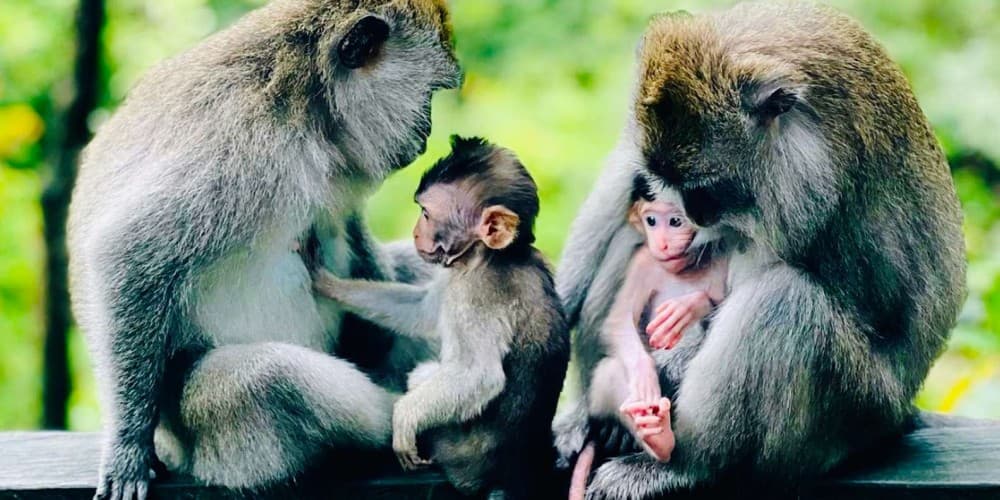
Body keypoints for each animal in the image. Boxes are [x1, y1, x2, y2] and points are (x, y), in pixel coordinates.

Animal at [67, 1, 462, 498]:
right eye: (430, 94)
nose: (426, 132)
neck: (308, 107)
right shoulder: (239, 146)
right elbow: (129, 254)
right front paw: (127, 446)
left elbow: (351, 234)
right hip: (211, 439)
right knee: (266, 378)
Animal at [311, 136, 570, 498]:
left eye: (425, 213)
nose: (415, 232)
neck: (490, 257)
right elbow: (423, 312)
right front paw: (329, 283)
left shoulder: (475, 294)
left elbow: (479, 376)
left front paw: (404, 417)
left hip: (455, 455)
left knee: (426, 376)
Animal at [568, 175, 728, 499]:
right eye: (651, 220)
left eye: (676, 221)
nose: (662, 242)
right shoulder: (643, 262)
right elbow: (618, 320)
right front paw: (645, 378)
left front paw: (688, 307)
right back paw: (651, 433)